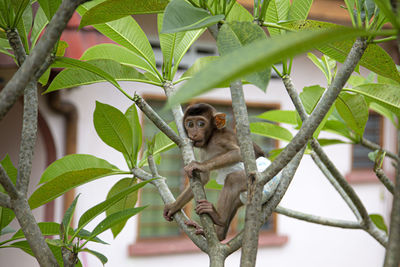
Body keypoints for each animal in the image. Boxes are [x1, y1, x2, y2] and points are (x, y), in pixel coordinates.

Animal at [162, 103, 278, 242]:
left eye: (201, 124)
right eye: (190, 124)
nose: (193, 133)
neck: (211, 137)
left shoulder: (221, 138)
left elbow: (238, 153)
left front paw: (198, 165)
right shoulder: (203, 149)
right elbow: (203, 178)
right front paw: (173, 207)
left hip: (264, 181)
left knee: (233, 180)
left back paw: (219, 219)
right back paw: (220, 234)